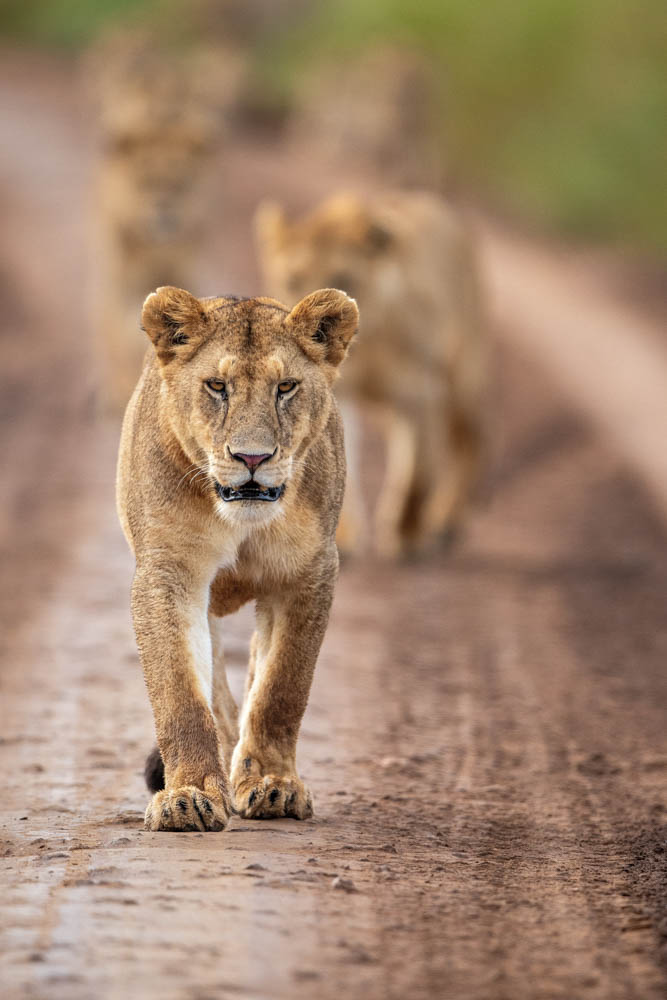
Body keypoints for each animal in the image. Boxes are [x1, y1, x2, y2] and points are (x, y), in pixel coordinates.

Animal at [117, 284, 358, 831]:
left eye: (286, 386)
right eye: (216, 386)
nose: (252, 458)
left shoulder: (308, 573)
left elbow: (280, 688)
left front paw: (273, 784)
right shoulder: (169, 572)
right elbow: (181, 694)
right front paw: (187, 796)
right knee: (219, 700)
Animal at [255, 191, 487, 558]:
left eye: (343, 279)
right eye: (292, 279)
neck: (369, 345)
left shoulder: (420, 394)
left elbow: (419, 475)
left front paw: (407, 534)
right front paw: (345, 534)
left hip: (461, 381)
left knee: (470, 443)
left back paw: (444, 521)